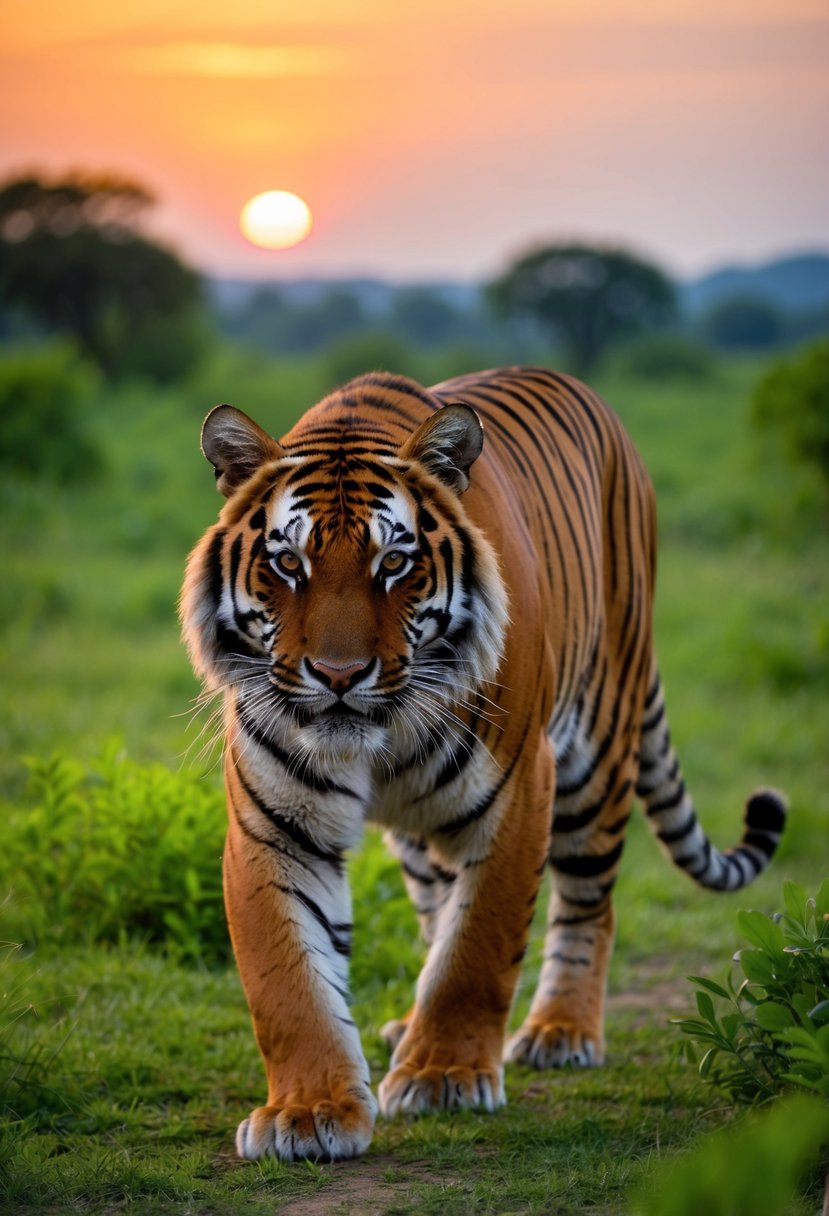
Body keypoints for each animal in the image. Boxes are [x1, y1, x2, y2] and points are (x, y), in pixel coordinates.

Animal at [180, 365, 786, 1163]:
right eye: (288, 563)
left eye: (393, 563)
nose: (339, 675)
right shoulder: (275, 822)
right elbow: (288, 979)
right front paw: (307, 1112)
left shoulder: (518, 789)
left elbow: (476, 948)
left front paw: (442, 1077)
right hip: (421, 831)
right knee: (437, 904)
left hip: (597, 750)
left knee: (589, 904)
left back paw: (559, 1031)